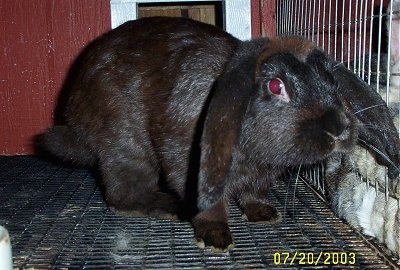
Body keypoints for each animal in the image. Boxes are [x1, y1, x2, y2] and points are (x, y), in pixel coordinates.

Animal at [41, 16, 400, 251]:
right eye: (275, 86)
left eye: (332, 81)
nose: (338, 128)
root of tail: (75, 119)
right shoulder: (189, 162)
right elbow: (209, 204)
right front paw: (216, 239)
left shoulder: (260, 175)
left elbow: (254, 193)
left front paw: (265, 215)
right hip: (126, 145)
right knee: (121, 193)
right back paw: (166, 206)